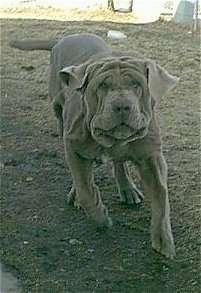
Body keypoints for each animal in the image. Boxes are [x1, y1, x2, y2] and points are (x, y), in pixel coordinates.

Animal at [10, 33, 178, 256]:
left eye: (137, 85)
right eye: (102, 86)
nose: (122, 105)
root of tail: (63, 39)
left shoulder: (151, 157)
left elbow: (161, 196)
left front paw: (163, 240)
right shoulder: (73, 146)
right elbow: (85, 189)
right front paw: (101, 219)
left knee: (119, 162)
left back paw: (127, 189)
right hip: (59, 113)